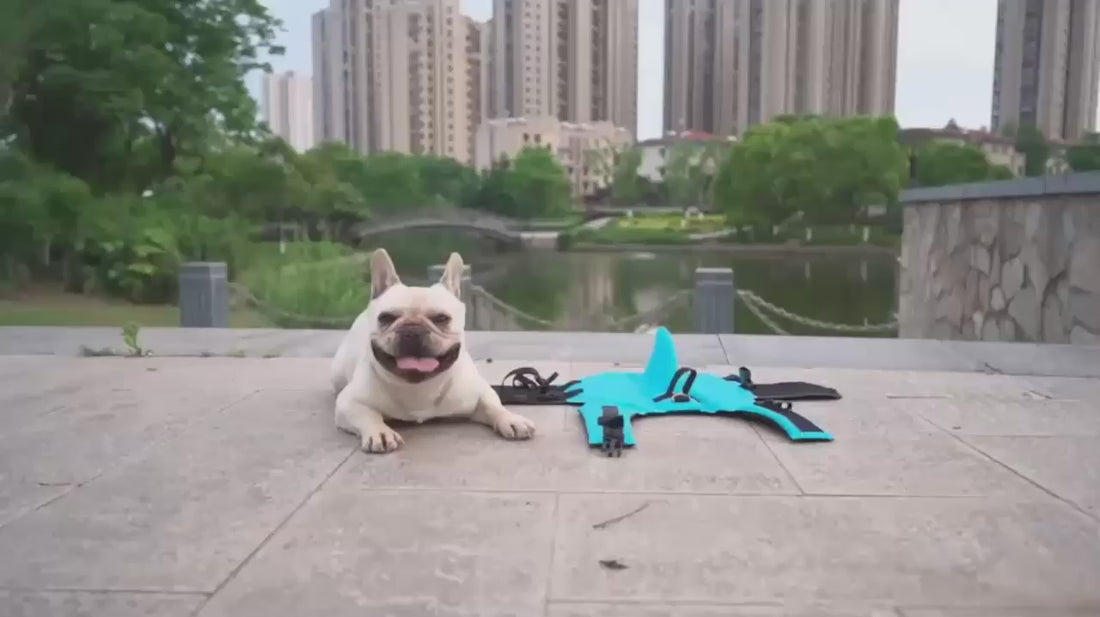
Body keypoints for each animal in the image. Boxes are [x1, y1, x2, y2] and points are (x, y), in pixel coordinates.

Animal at [327, 245, 534, 453]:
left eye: (442, 318)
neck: (419, 389)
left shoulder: (480, 392)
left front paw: (511, 419)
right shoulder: (349, 402)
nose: (412, 330)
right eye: (386, 318)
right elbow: (368, 415)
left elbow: (494, 405)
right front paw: (381, 432)